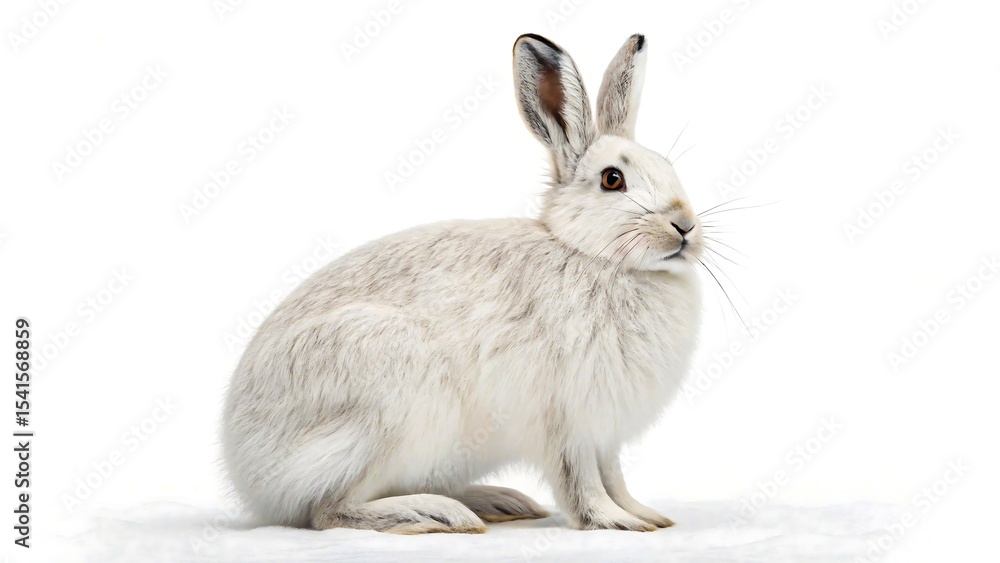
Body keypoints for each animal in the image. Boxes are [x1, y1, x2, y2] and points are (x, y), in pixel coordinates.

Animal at [222, 32, 704, 534]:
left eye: (668, 166)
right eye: (613, 179)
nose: (685, 225)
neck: (595, 255)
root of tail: (247, 471)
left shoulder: (604, 431)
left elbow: (615, 477)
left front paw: (647, 516)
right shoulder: (568, 419)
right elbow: (583, 481)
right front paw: (614, 522)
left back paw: (498, 501)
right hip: (384, 405)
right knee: (327, 510)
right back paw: (437, 513)